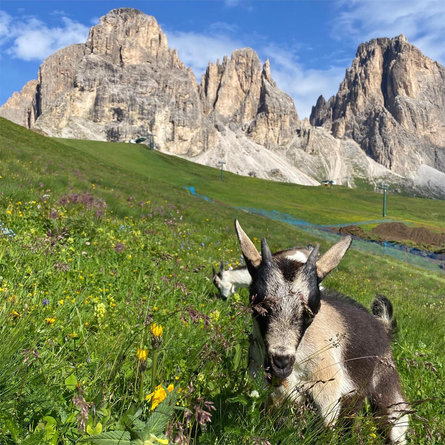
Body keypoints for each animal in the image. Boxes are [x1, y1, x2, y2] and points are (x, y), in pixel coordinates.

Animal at [236, 219, 410, 444]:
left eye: (311, 311)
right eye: (259, 306)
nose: (281, 362)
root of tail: (382, 327)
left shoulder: (327, 392)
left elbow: (325, 429)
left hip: (384, 380)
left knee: (394, 416)